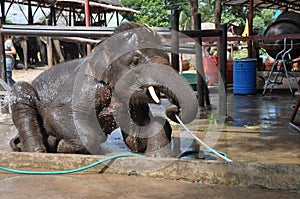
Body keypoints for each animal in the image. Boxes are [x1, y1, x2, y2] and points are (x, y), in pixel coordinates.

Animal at [9, 22, 198, 157]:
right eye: (135, 62)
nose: (173, 109)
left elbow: (137, 138)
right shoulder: (87, 85)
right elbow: (56, 114)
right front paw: (63, 146)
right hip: (22, 92)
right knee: (21, 93)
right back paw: (38, 151)